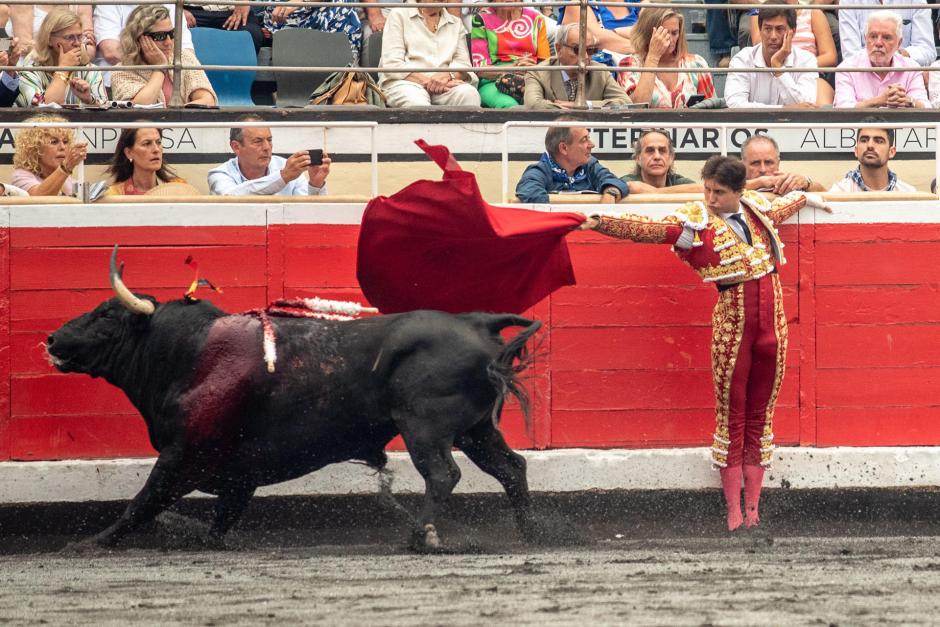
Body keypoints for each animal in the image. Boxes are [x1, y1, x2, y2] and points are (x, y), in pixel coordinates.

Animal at [46, 249, 544, 548]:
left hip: (425, 427)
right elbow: (219, 521)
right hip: (476, 430)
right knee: (511, 468)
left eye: (106, 315)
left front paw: (88, 544)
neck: (188, 354)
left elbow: (143, 502)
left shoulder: (181, 455)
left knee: (442, 474)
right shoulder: (237, 474)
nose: (53, 339)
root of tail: (477, 322)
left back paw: (423, 538)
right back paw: (529, 533)